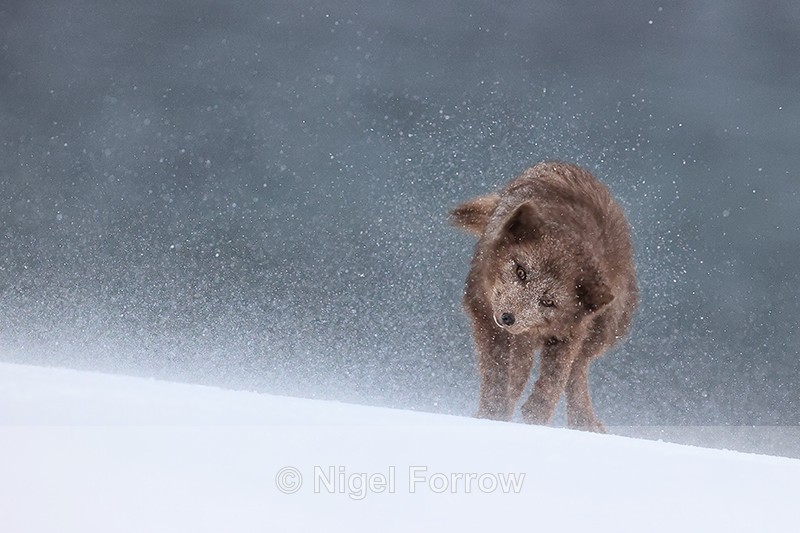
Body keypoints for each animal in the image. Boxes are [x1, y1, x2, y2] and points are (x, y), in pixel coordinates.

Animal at [451, 161, 637, 432]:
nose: (508, 318)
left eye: (548, 301)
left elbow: (554, 380)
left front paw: (535, 415)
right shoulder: (485, 319)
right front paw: (492, 416)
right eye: (521, 272)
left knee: (578, 369)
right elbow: (497, 378)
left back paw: (585, 423)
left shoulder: (570, 333)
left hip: (600, 331)